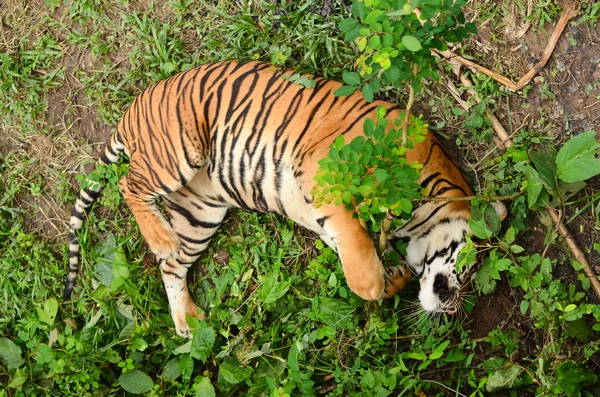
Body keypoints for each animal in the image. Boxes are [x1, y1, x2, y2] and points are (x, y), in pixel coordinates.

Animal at [65, 59, 506, 338]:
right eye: (471, 268)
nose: (453, 309)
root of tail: (135, 105)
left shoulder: (327, 221)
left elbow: (353, 242)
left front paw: (391, 278)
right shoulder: (325, 169)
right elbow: (358, 243)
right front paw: (371, 285)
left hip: (200, 213)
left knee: (171, 265)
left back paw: (187, 321)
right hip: (176, 151)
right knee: (129, 185)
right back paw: (158, 238)